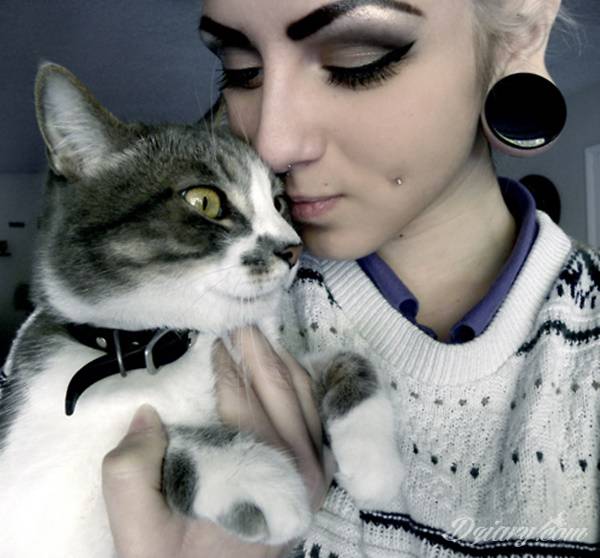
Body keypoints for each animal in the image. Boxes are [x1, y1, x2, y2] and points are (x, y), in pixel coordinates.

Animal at [0, 63, 404, 558]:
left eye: (280, 202)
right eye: (204, 200)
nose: (292, 248)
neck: (178, 342)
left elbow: (347, 357)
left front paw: (373, 461)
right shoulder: (44, 469)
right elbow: (132, 443)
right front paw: (255, 475)